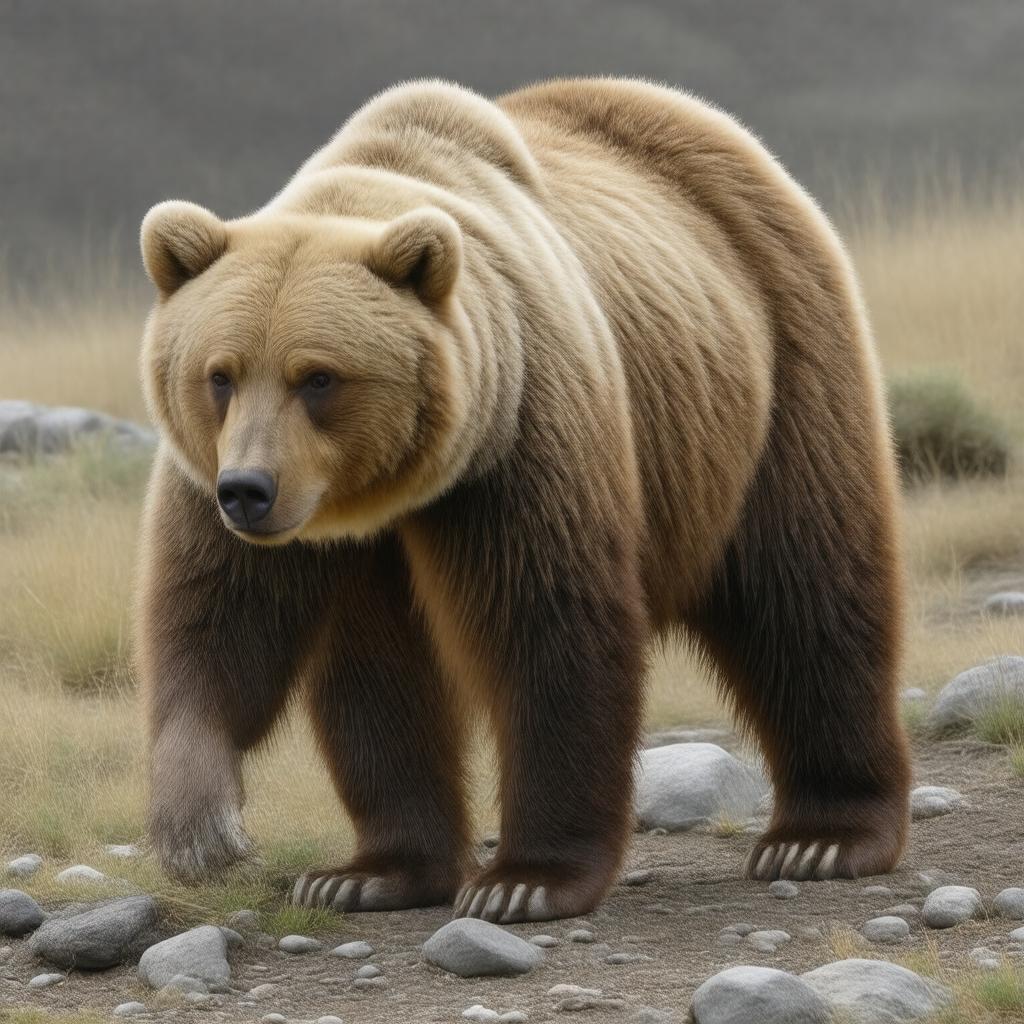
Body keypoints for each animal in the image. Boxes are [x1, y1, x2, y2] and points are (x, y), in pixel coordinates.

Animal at [136, 77, 910, 923]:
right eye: (220, 374)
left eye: (318, 377)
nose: (249, 492)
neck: (386, 492)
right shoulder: (225, 483)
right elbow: (218, 621)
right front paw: (201, 827)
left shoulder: (518, 435)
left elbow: (546, 629)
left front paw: (525, 880)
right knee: (371, 672)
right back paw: (371, 872)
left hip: (777, 373)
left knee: (807, 598)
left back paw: (822, 836)